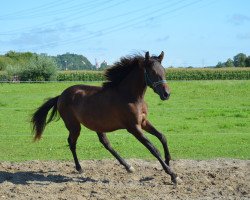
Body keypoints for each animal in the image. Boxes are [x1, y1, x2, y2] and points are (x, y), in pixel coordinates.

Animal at [31, 51, 178, 184]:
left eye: (164, 71)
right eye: (152, 72)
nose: (166, 94)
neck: (130, 96)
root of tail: (60, 96)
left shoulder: (143, 122)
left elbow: (162, 137)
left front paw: (168, 161)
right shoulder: (133, 128)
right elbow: (153, 148)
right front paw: (173, 175)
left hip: (97, 125)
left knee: (105, 143)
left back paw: (128, 166)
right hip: (74, 126)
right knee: (72, 142)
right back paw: (79, 168)